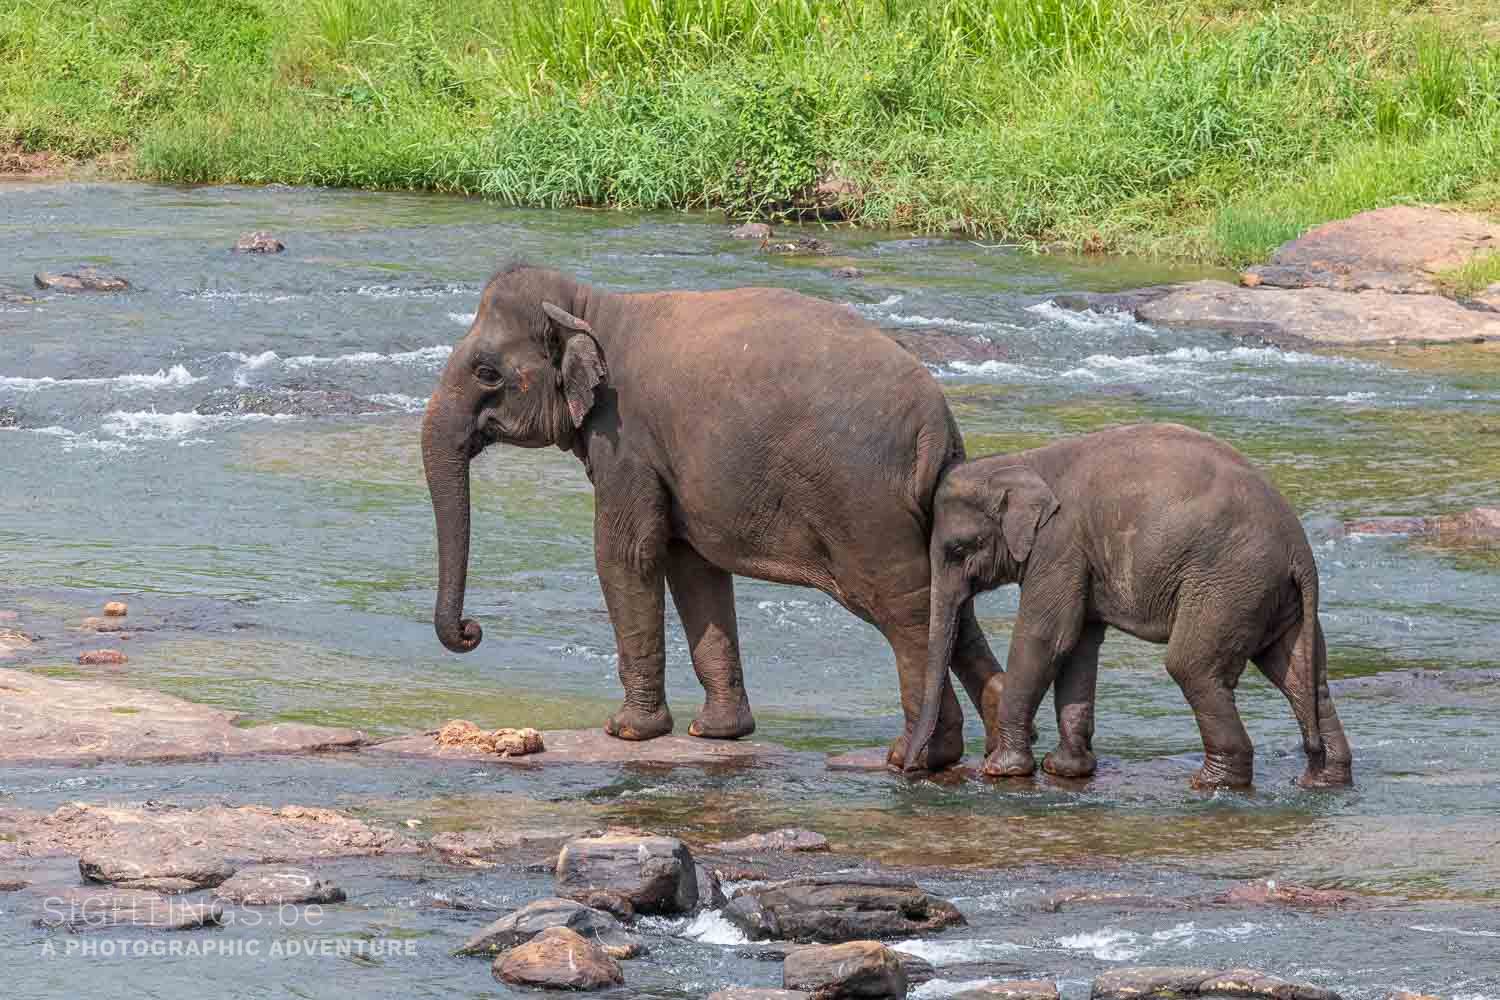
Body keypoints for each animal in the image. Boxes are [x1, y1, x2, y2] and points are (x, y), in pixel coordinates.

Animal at [421, 263, 1005, 770]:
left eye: (486, 372)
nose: (472, 630)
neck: (590, 305)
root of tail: (938, 424)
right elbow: (693, 566)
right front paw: (716, 733)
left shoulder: (626, 438)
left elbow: (625, 555)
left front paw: (627, 731)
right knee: (948, 607)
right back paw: (992, 753)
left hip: (866, 505)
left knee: (904, 608)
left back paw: (920, 755)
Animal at [904, 422, 1354, 789]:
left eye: (957, 550)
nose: (911, 769)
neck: (1024, 462)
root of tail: (1300, 549)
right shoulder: (1082, 558)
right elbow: (1079, 644)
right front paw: (1065, 769)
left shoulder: (1059, 545)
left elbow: (1046, 637)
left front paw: (1002, 769)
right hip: (1272, 595)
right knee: (1301, 673)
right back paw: (1321, 780)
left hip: (1229, 583)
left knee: (1192, 665)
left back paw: (1212, 782)